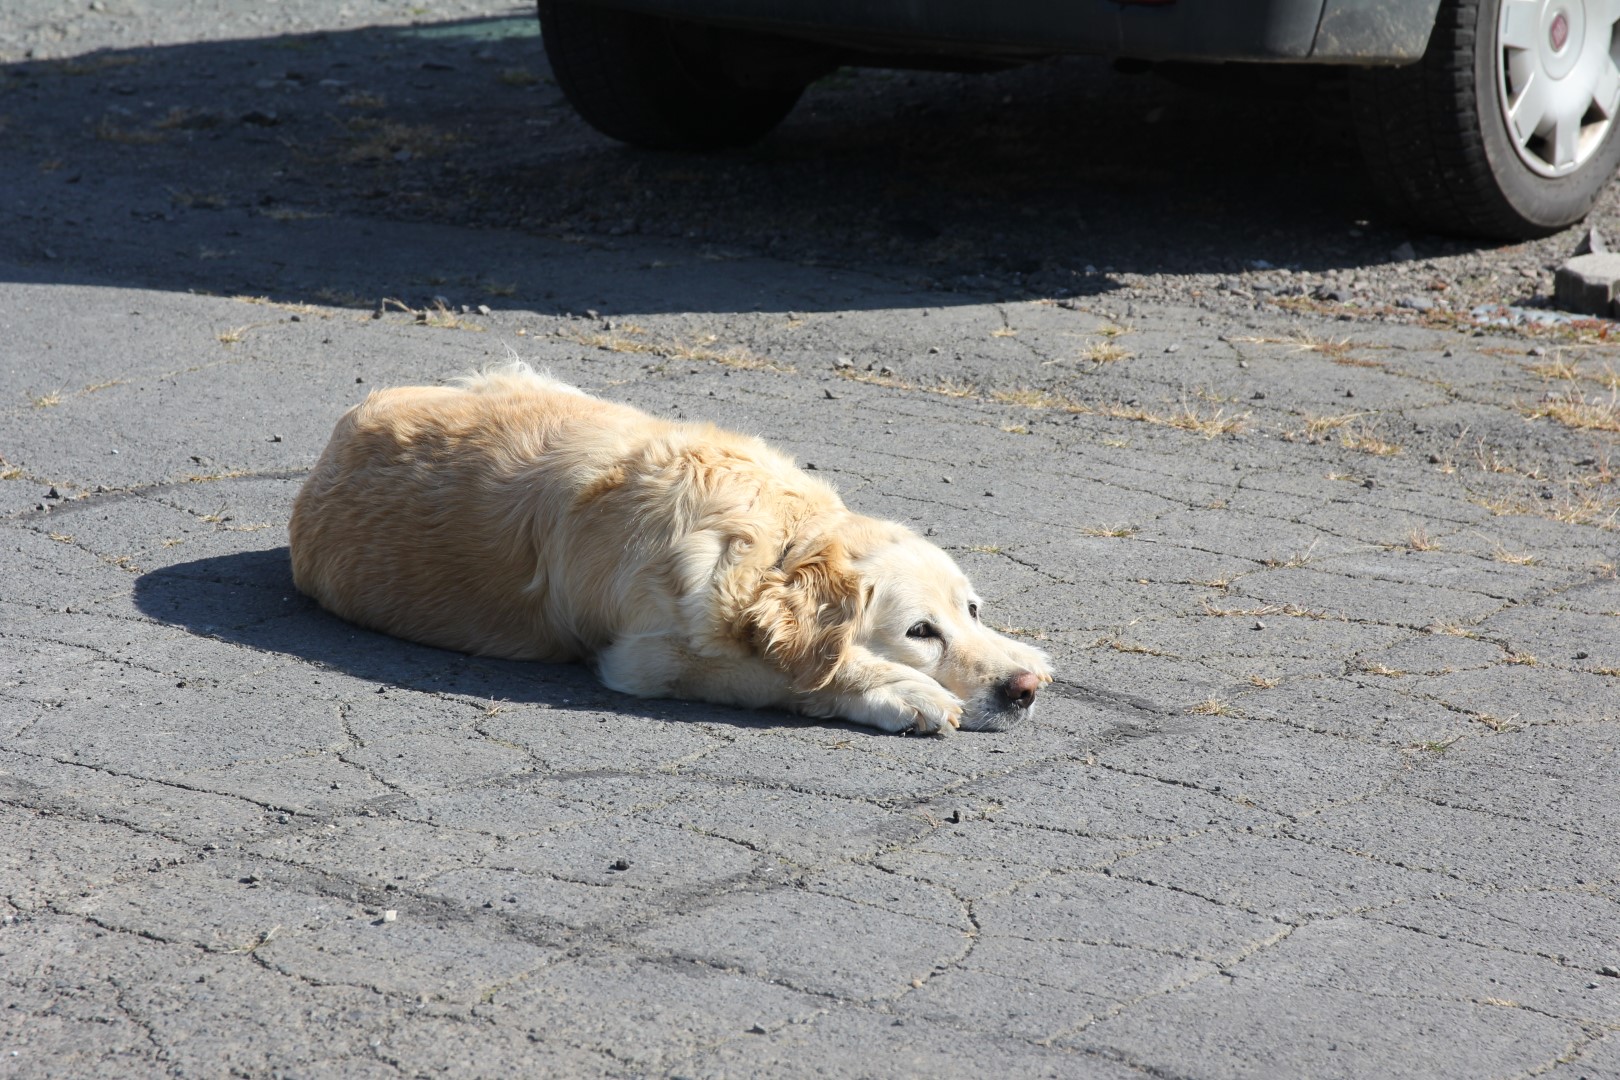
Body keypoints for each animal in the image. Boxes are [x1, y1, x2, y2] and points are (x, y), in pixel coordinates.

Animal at [289, 365, 1049, 735]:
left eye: (973, 611)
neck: (774, 539)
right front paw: (901, 691)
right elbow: (791, 676)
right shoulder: (646, 659)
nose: (1022, 692)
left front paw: (1026, 653)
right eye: (920, 632)